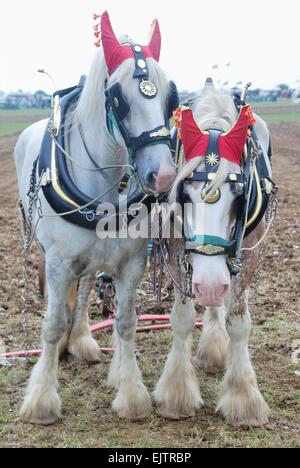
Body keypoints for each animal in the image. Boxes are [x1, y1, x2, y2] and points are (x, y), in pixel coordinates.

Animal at [14, 12, 177, 426]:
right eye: (117, 97)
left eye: (170, 95)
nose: (162, 175)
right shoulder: (58, 262)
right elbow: (52, 323)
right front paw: (42, 399)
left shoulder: (132, 263)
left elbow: (126, 322)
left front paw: (130, 393)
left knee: (88, 286)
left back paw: (83, 340)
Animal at [156, 83, 276, 424]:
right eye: (184, 194)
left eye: (240, 195)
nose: (209, 285)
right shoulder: (177, 251)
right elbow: (182, 319)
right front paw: (177, 393)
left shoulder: (248, 253)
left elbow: (239, 323)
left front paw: (243, 397)